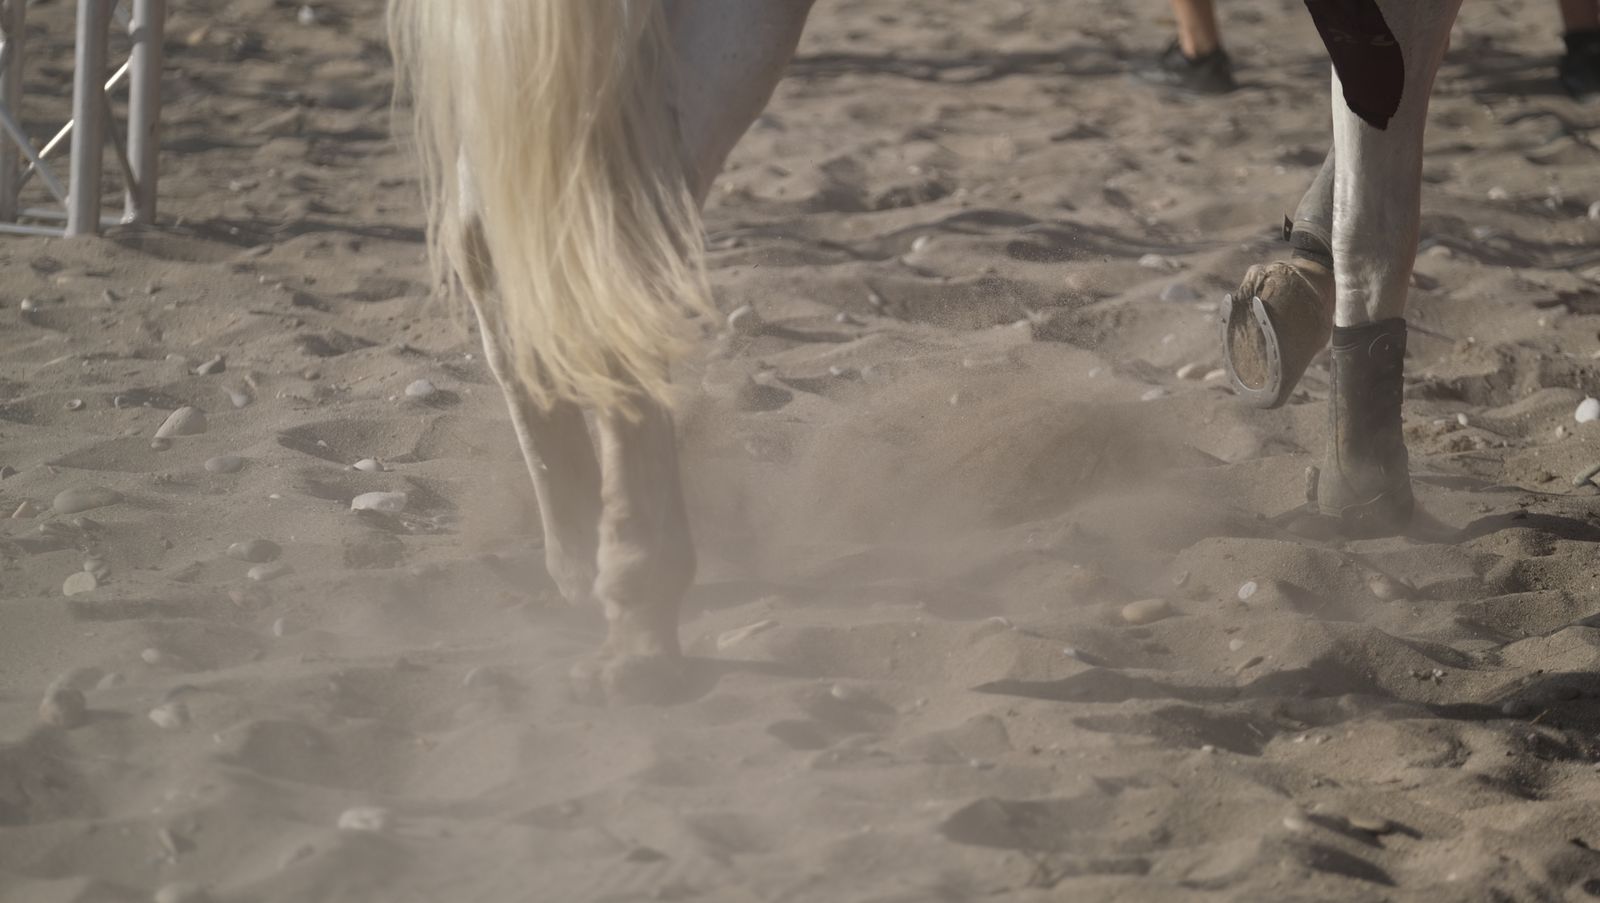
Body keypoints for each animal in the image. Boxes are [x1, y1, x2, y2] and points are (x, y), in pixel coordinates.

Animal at [385, 0, 1462, 704]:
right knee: (607, 245)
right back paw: (642, 611)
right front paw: (1368, 478)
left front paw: (1297, 287)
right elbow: (1380, 188)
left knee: (505, 246)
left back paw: (578, 556)